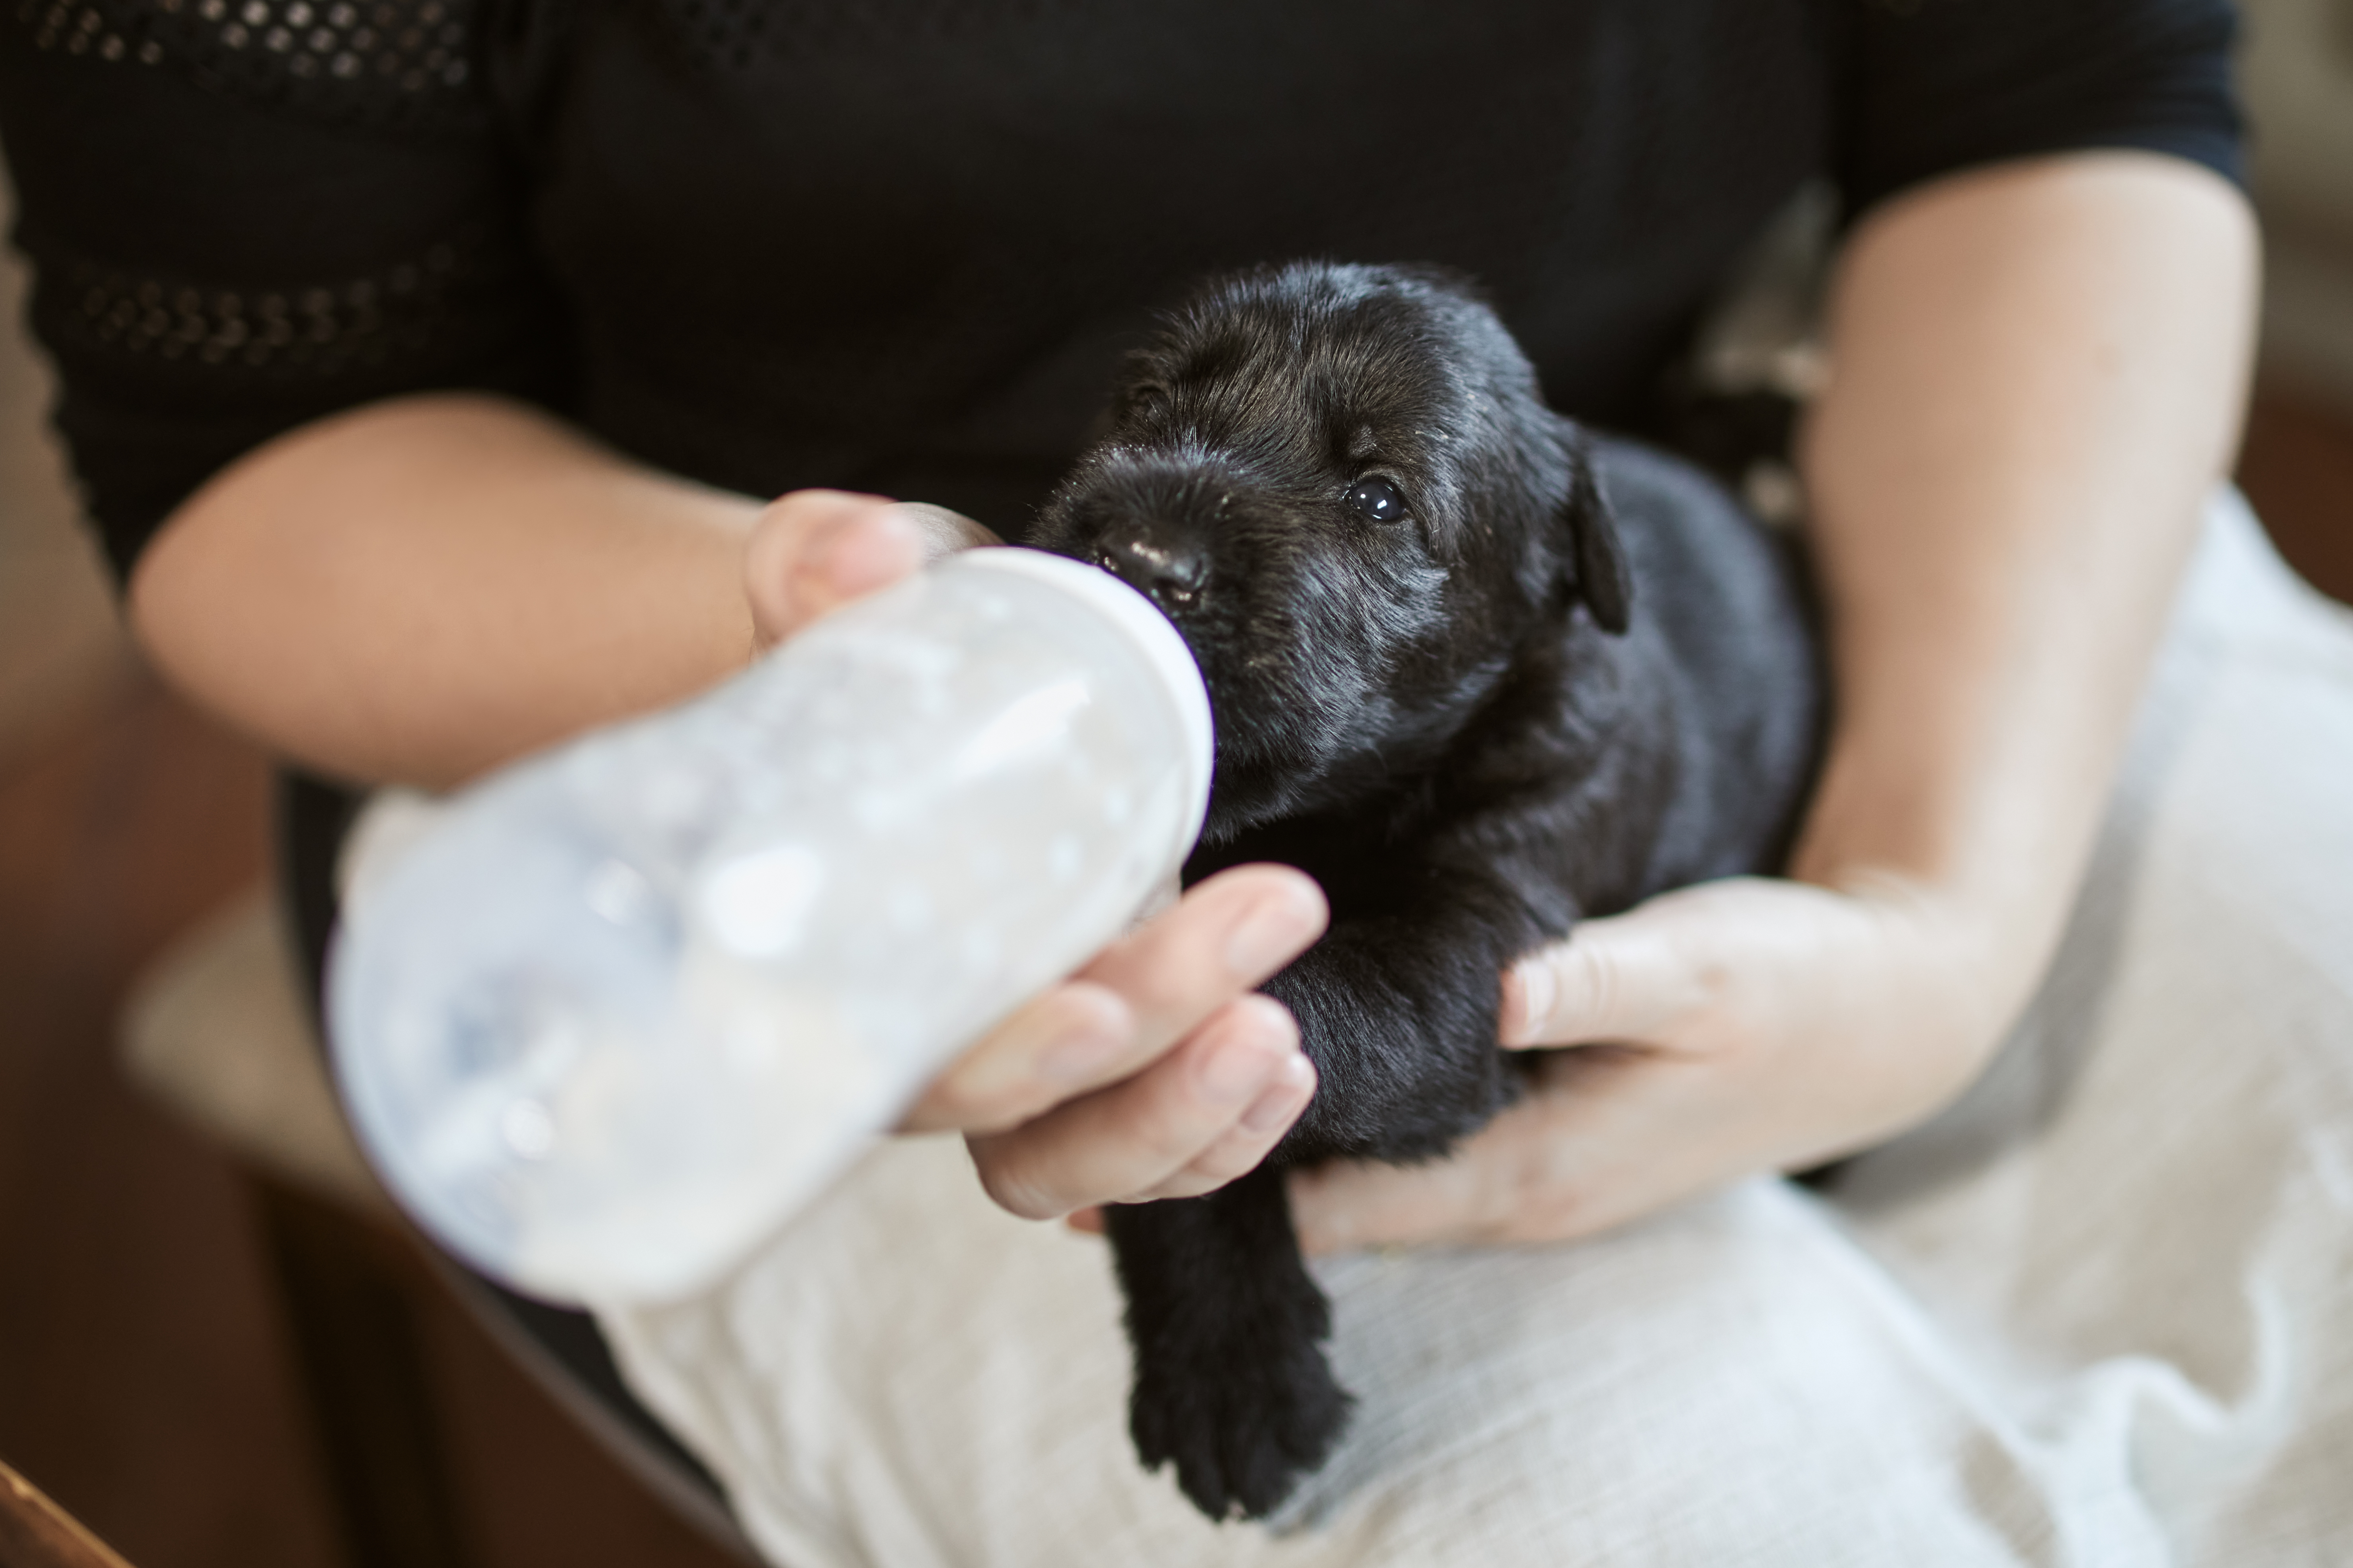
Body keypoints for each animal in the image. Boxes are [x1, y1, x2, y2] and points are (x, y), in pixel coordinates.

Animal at [1026, 263, 1816, 1523]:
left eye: (1381, 497)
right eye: (1144, 404)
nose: (1137, 556)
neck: (1333, 810)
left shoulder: (1474, 939)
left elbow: (1290, 1014)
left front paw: (1232, 1376)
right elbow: (1196, 1162)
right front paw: (1228, 1357)